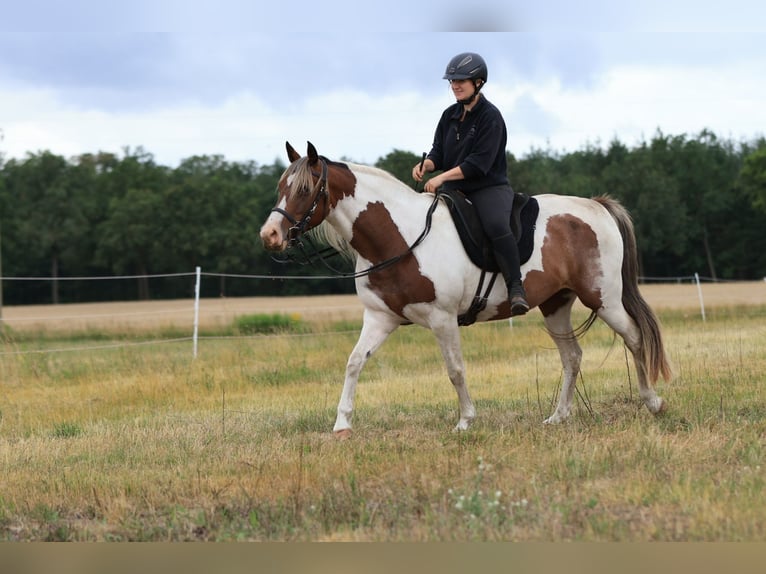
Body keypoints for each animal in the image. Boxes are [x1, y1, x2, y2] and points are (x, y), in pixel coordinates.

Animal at [259, 141, 672, 436]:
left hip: (604, 300)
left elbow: (455, 369)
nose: (270, 235)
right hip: (556, 305)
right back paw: (558, 417)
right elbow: (354, 362)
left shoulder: (442, 319)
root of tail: (596, 207)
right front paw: (342, 423)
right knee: (572, 357)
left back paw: (653, 402)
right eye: (280, 187)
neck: (401, 236)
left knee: (635, 338)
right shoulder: (379, 318)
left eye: (305, 188)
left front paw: (465, 421)